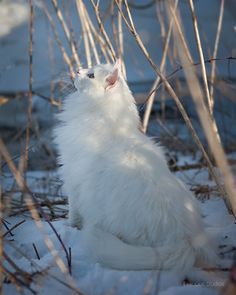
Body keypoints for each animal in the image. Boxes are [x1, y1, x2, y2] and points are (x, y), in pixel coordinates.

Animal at [54, 60, 218, 272]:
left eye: (90, 75)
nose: (76, 69)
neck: (104, 118)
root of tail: (185, 240)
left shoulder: (73, 180)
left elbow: (73, 212)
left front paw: (69, 227)